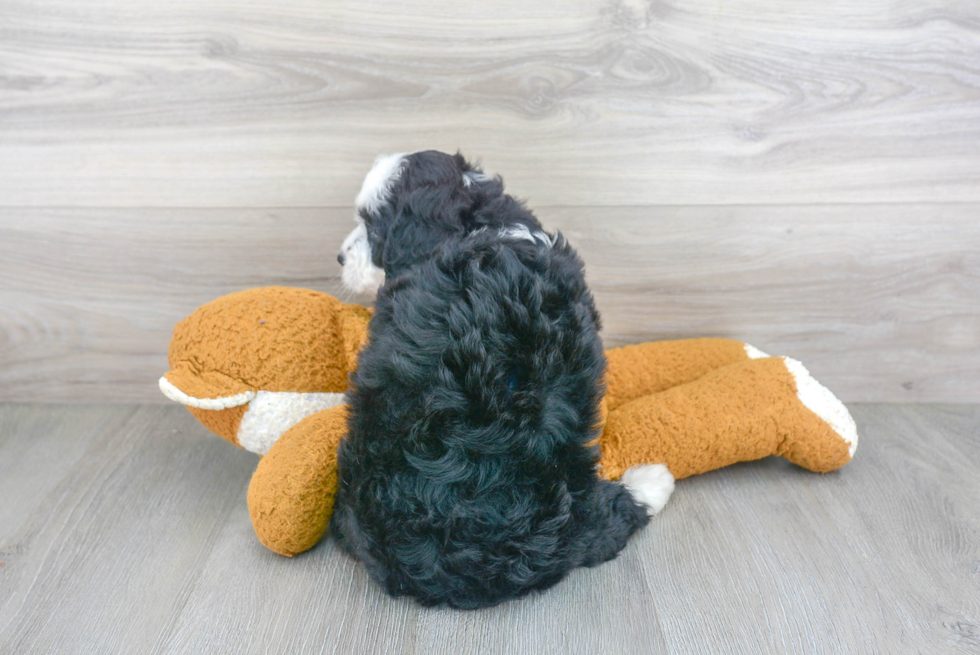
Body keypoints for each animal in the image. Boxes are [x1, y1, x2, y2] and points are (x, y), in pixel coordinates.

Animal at [334, 150, 668, 608]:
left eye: (373, 229)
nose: (340, 258)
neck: (480, 227)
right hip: (564, 489)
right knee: (594, 525)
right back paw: (650, 482)